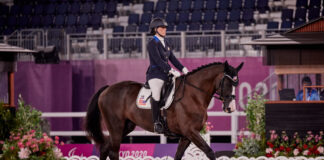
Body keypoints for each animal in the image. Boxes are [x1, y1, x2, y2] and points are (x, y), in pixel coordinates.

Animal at [85, 60, 243, 159]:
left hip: (126, 126)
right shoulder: (191, 132)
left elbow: (178, 156)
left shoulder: (186, 135)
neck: (194, 94)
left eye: (237, 83)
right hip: (116, 126)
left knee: (105, 148)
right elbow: (210, 152)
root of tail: (108, 88)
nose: (231, 107)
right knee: (113, 152)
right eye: (228, 82)